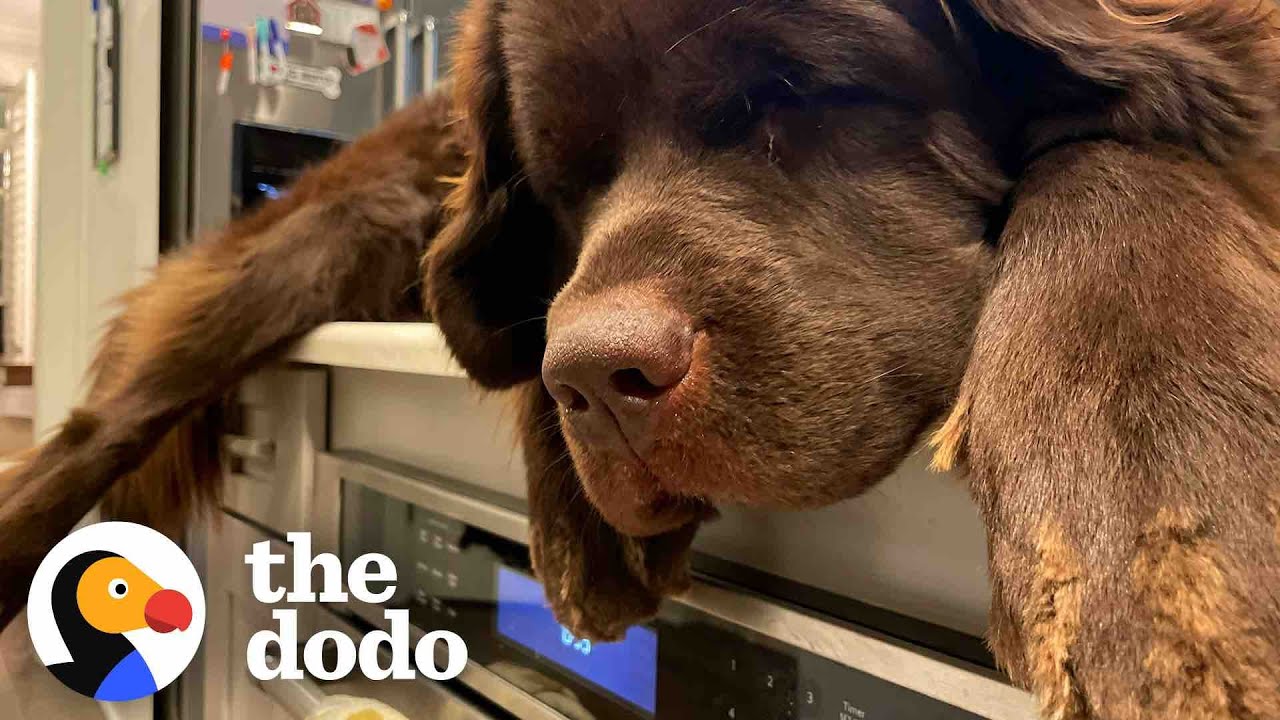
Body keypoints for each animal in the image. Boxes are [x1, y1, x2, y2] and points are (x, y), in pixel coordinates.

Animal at [0, 1, 1274, 717]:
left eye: (792, 95)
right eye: (568, 182)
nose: (597, 389)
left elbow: (1121, 157)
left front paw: (1143, 549)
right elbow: (524, 311)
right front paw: (580, 509)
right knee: (107, 418)